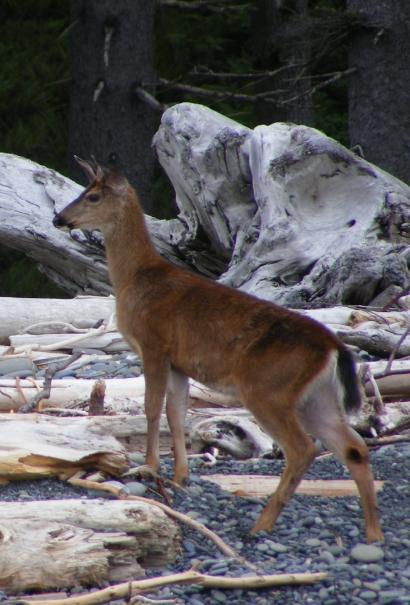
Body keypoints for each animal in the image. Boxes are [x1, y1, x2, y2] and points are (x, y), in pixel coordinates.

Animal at [52, 157, 382, 544]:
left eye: (92, 196)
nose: (59, 218)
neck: (136, 278)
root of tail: (334, 346)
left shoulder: (153, 344)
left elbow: (151, 408)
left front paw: (149, 467)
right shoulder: (179, 363)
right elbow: (176, 414)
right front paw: (180, 475)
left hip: (268, 389)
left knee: (303, 448)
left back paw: (262, 523)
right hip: (317, 398)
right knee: (353, 447)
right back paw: (373, 533)